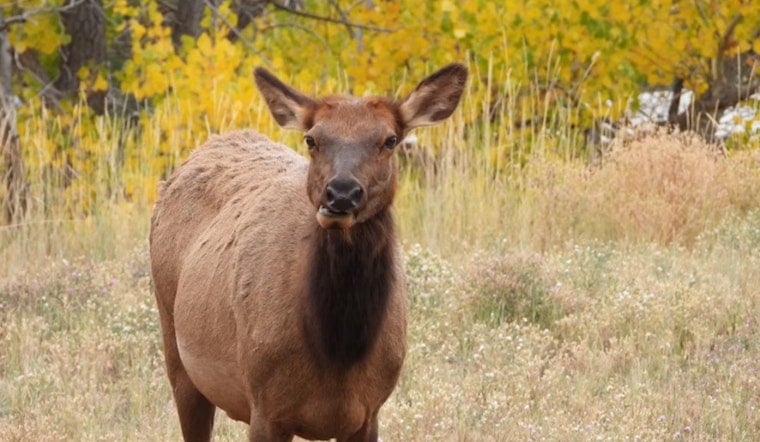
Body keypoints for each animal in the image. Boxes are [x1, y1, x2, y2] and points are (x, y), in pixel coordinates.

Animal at [149, 63, 467, 441]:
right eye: (312, 139)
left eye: (390, 140)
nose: (341, 193)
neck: (337, 354)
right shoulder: (266, 407)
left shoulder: (369, 412)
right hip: (176, 349)